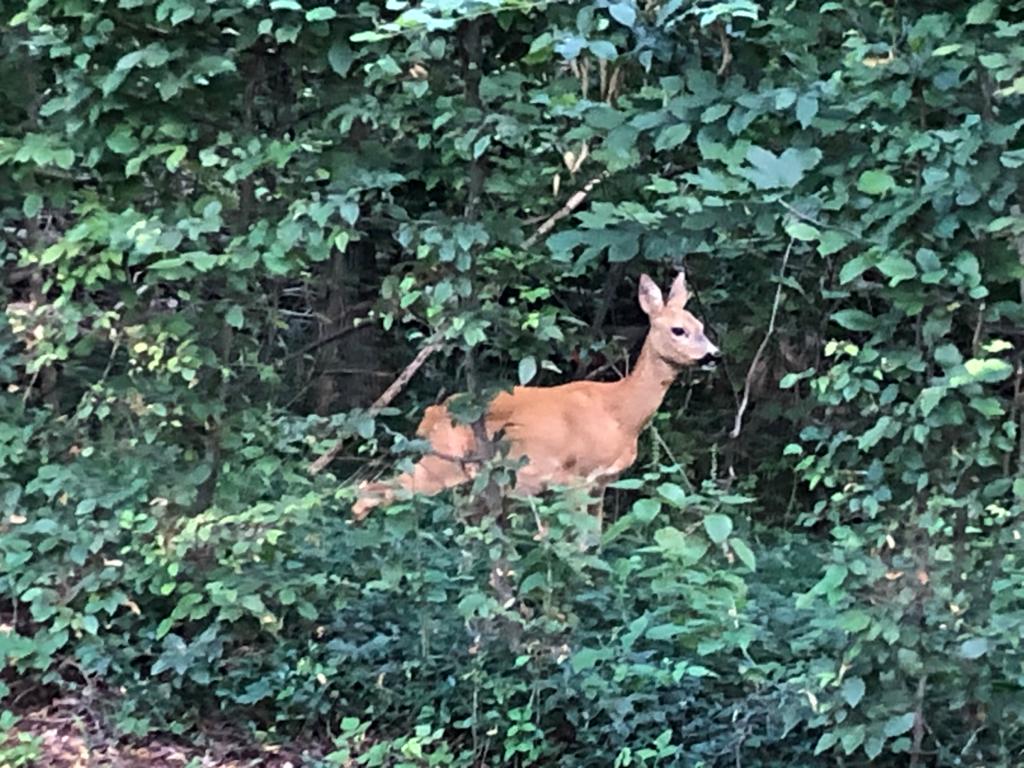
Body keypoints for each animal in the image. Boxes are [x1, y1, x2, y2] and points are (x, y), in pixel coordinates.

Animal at [351, 271, 720, 526]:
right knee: (371, 491)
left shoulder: (602, 483)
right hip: (442, 463)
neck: (621, 413)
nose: (713, 355)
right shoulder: (575, 477)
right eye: (678, 330)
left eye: (701, 326)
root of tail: (431, 415)